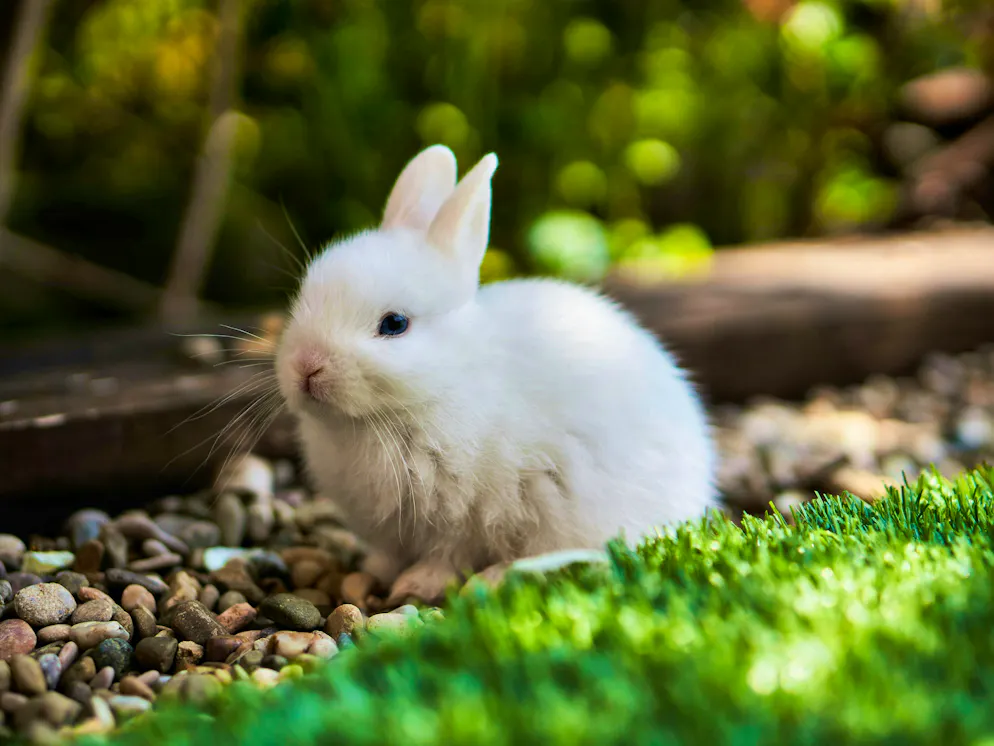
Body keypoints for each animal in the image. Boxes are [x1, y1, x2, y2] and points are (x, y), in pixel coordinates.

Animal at [275, 144, 718, 605]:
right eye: (305, 297)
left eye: (395, 324)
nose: (307, 366)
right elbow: (388, 554)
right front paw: (371, 572)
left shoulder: (464, 516)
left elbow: (447, 555)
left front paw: (416, 585)